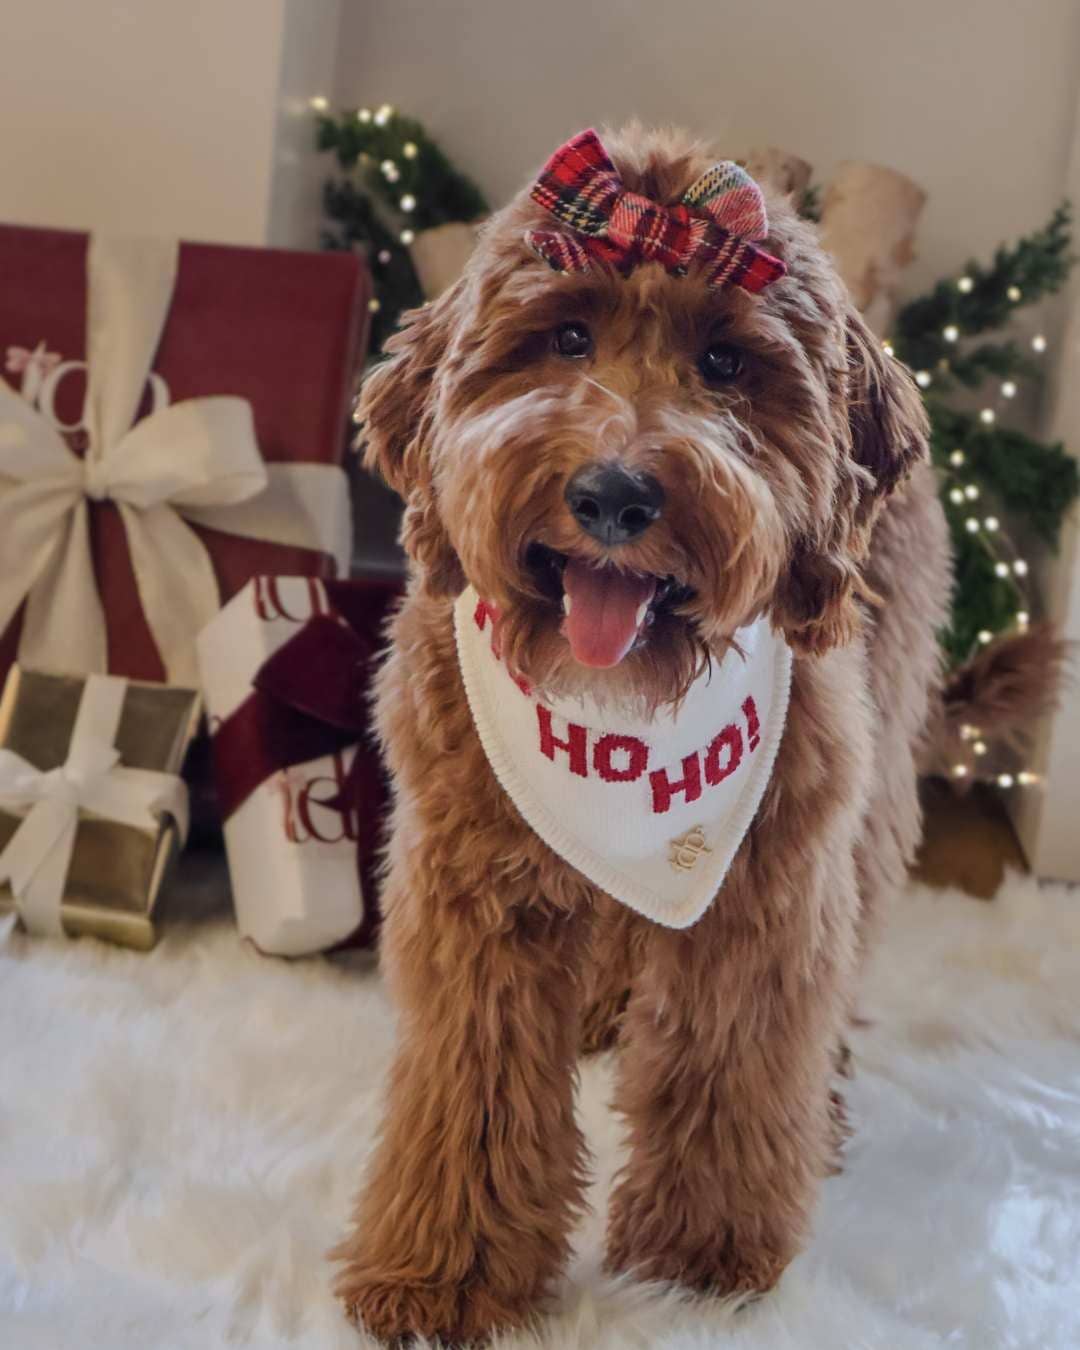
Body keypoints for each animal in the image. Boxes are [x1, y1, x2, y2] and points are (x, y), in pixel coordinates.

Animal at [333, 124, 950, 1339]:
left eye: (726, 364)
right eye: (567, 335)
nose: (613, 496)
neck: (616, 731)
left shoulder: (764, 888)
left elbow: (730, 1057)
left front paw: (698, 1257)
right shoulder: (473, 886)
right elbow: (472, 1079)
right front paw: (443, 1272)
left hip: (872, 776)